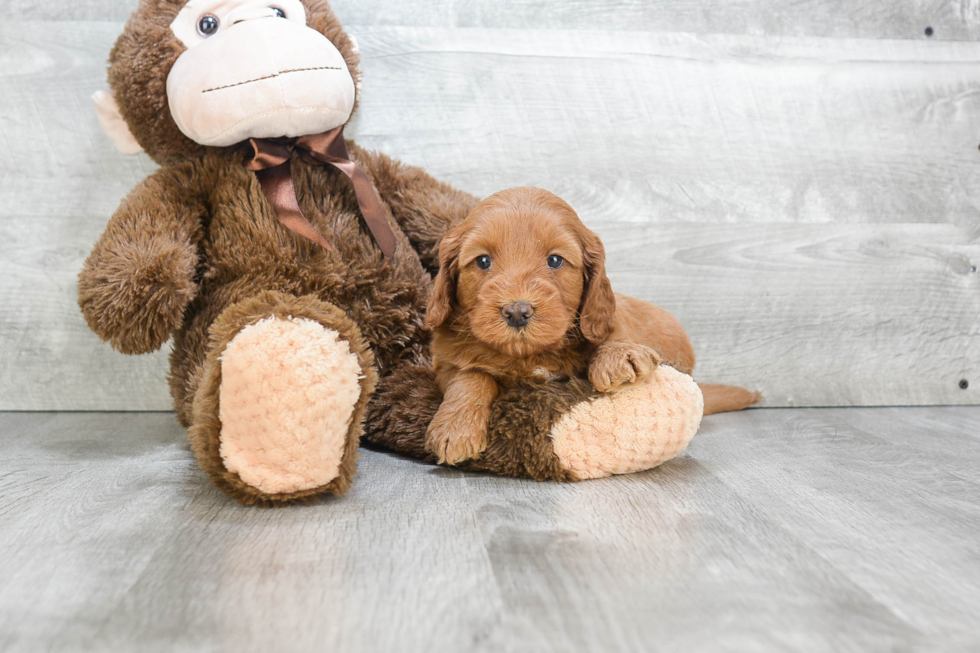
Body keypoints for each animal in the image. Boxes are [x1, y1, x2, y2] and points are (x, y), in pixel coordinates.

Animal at [424, 186, 756, 466]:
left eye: (555, 260)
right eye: (482, 261)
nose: (517, 311)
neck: (529, 355)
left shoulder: (606, 318)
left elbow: (613, 331)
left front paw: (618, 356)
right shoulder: (446, 362)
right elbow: (470, 378)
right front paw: (456, 429)